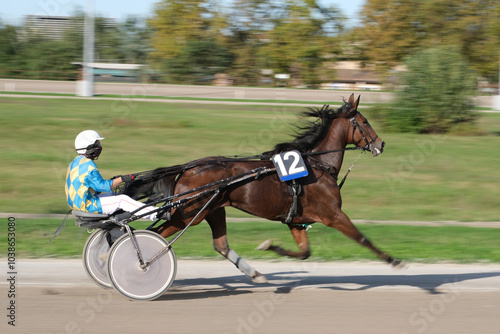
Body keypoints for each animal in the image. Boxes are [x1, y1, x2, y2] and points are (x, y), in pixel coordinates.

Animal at [120, 93, 402, 282]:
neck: (317, 165)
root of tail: (189, 167)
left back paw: (255, 274)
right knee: (156, 234)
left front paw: (270, 246)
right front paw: (394, 261)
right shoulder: (334, 215)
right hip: (190, 214)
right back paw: (137, 264)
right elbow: (363, 238)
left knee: (220, 245)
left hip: (213, 210)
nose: (381, 144)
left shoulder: (296, 221)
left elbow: (305, 253)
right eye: (364, 121)